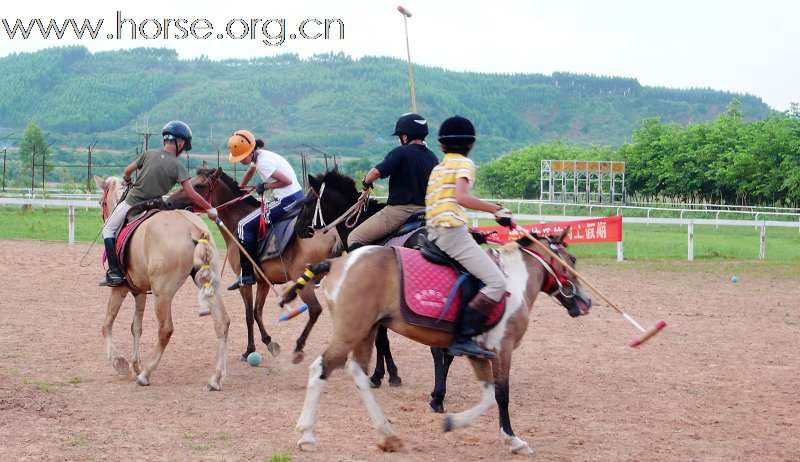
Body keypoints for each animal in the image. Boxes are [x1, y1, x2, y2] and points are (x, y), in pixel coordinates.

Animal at [95, 176, 231, 390]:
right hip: (211, 284)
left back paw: (146, 374)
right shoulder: (139, 291)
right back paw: (216, 378)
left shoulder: (120, 288)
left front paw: (121, 364)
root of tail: (194, 228)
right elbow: (136, 327)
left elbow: (107, 324)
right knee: (222, 322)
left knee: (165, 329)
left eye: (101, 202)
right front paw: (135, 365)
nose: (104, 218)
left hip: (162, 294)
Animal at [167, 168, 340, 362]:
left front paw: (249, 350)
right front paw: (269, 342)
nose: (168, 201)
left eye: (198, 185)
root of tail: (332, 234)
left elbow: (249, 314)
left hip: (304, 280)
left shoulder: (245, 282)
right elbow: (257, 311)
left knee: (315, 309)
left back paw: (300, 347)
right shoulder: (264, 282)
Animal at [278, 229, 592, 452]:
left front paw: (452, 420)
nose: (586, 302)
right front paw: (513, 439)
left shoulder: (479, 352)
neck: (512, 282)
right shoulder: (502, 349)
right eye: (573, 260)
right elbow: (502, 394)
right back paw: (307, 434)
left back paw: (387, 435)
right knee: (321, 368)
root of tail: (335, 261)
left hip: (365, 331)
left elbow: (489, 395)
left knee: (357, 373)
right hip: (351, 331)